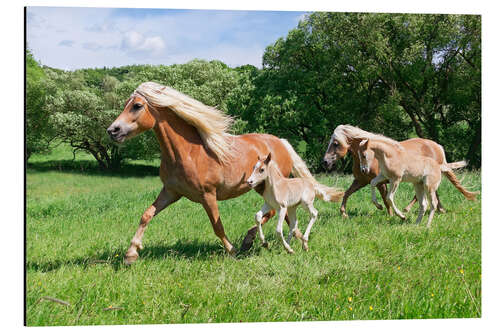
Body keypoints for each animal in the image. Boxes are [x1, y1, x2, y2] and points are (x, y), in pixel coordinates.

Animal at [106, 81, 344, 262]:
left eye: (137, 106)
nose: (112, 130)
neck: (187, 152)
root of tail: (281, 142)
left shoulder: (207, 195)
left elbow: (217, 226)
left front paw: (232, 250)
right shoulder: (171, 192)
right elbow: (146, 215)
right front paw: (131, 253)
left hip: (267, 185)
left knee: (274, 213)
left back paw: (253, 241)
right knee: (281, 215)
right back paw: (291, 239)